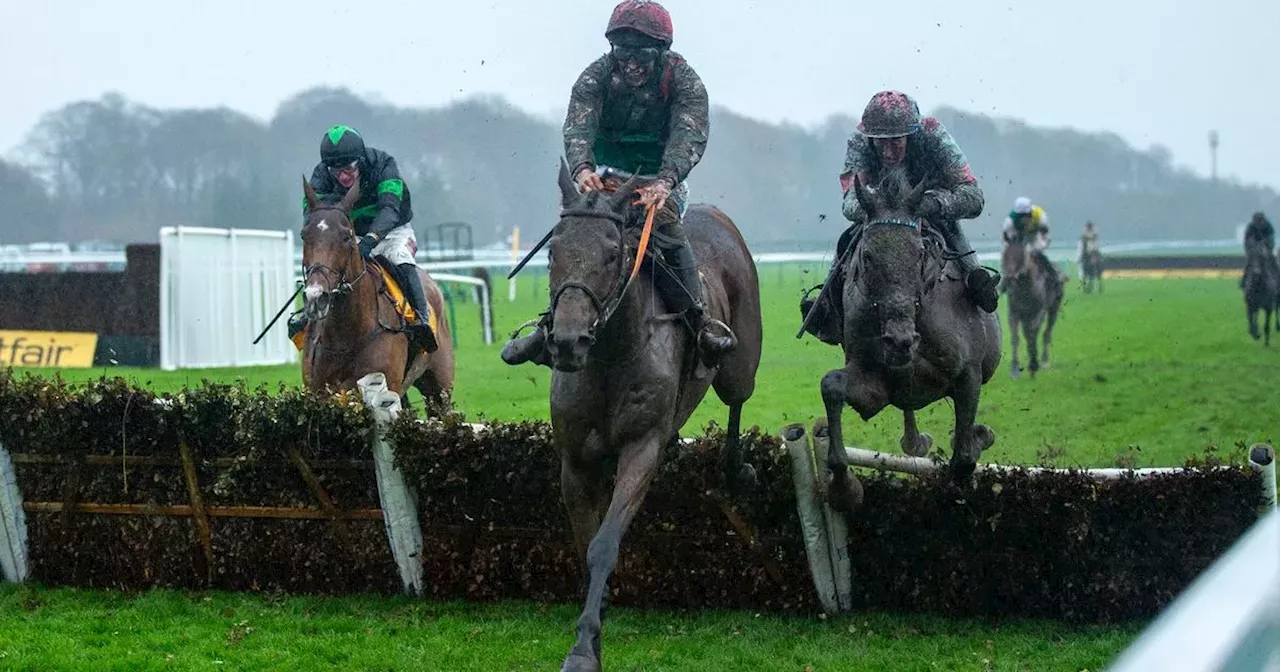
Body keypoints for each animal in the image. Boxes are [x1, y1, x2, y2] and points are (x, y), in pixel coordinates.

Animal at [545, 162, 762, 670]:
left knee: (737, 401)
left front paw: (584, 645)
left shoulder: (641, 449)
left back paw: (735, 467)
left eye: (611, 254)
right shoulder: (575, 461)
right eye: (553, 251)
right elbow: (584, 541)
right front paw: (595, 614)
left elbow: (604, 545)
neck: (609, 357)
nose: (567, 342)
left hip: (740, 362)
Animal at [819, 170, 998, 512]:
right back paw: (916, 441)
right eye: (868, 255)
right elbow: (832, 384)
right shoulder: (875, 384)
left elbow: (964, 457)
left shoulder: (969, 374)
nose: (899, 341)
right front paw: (844, 487)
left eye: (918, 253)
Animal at [1003, 231, 1064, 376]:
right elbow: (1016, 337)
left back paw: (1044, 360)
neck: (1025, 286)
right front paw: (1014, 368)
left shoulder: (1039, 311)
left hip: (1053, 309)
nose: (1009, 278)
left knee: (1046, 333)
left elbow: (1032, 333)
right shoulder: (1014, 312)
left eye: (1020, 255)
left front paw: (1034, 363)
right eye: (1005, 255)